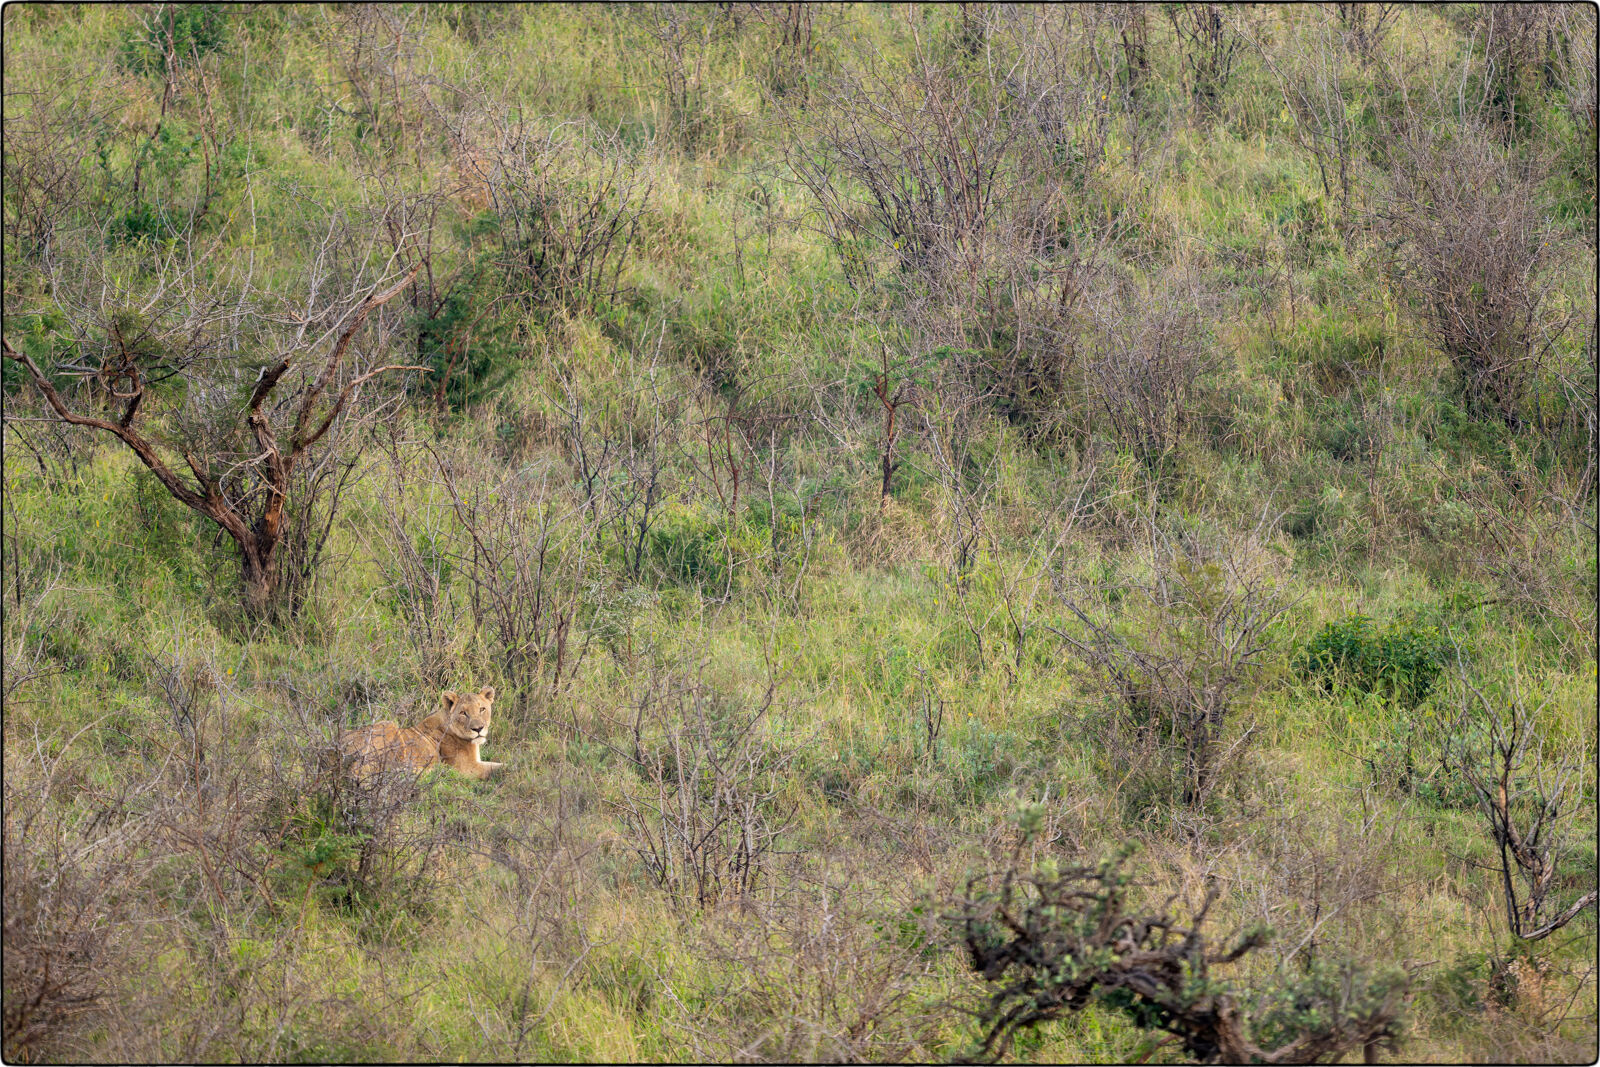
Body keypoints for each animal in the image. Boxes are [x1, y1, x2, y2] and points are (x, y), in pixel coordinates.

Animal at [336, 687, 504, 780]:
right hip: (388, 729)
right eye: (463, 713)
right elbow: (499, 768)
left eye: (482, 709)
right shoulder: (466, 769)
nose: (478, 729)